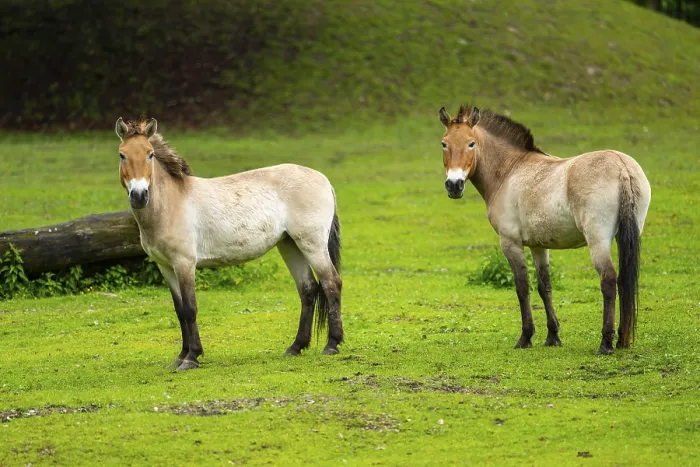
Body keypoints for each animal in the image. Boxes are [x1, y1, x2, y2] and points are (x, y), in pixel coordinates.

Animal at [114, 117, 343, 370]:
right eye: (122, 155)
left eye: (150, 154)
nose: (139, 196)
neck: (171, 203)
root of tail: (323, 180)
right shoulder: (165, 266)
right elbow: (179, 310)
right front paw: (180, 357)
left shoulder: (184, 264)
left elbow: (190, 308)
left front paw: (192, 357)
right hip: (290, 245)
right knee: (308, 289)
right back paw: (295, 347)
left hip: (312, 244)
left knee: (331, 283)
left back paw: (332, 345)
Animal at [438, 105, 651, 354]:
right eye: (444, 143)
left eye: (471, 143)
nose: (454, 185)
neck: (510, 170)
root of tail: (621, 166)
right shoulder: (539, 246)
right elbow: (544, 286)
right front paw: (552, 336)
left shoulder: (511, 243)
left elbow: (522, 287)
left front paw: (525, 337)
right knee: (625, 280)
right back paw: (622, 340)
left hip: (598, 240)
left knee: (608, 280)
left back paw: (606, 343)